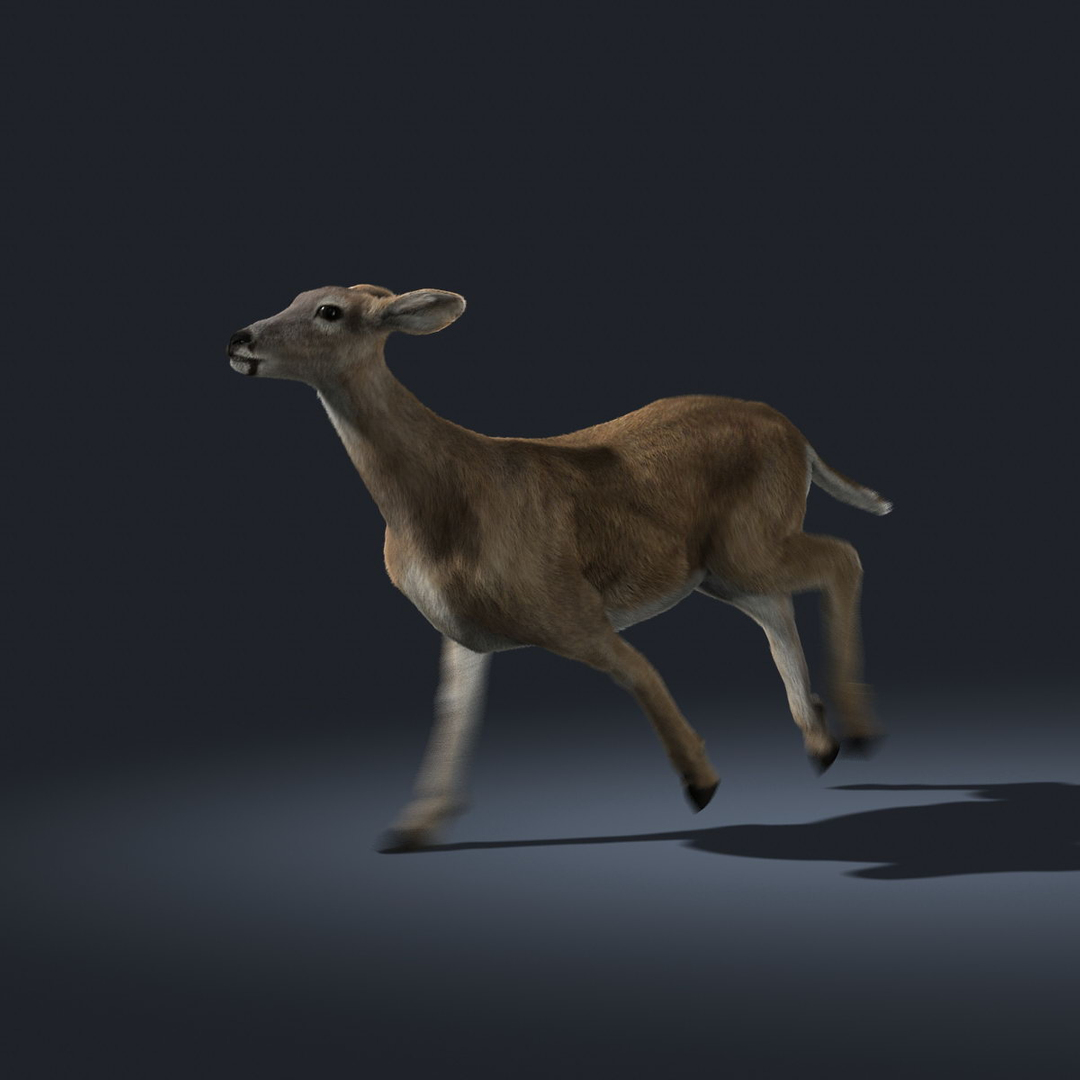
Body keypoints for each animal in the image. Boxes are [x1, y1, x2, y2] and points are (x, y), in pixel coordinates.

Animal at [227, 283, 892, 852]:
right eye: (293, 296)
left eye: (329, 311)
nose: (239, 338)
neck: (442, 506)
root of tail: (797, 435)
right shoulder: (465, 635)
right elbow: (453, 714)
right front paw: (414, 826)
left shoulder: (567, 604)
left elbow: (637, 671)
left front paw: (701, 783)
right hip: (722, 566)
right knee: (780, 605)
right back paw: (820, 741)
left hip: (749, 542)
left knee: (843, 558)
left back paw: (857, 731)